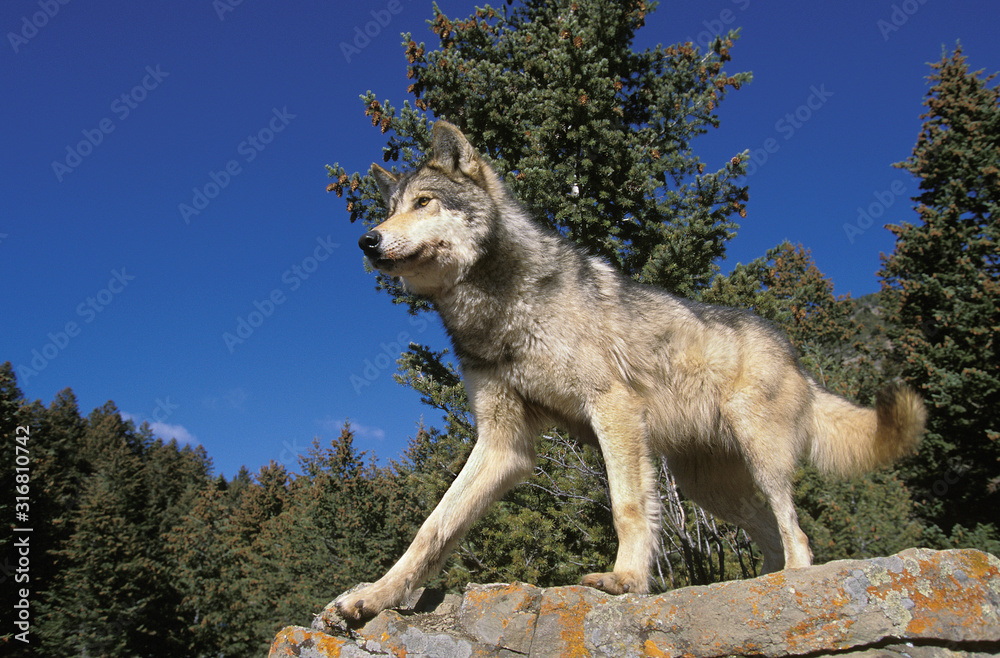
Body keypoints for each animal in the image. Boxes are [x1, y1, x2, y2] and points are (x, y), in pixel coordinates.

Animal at [334, 120, 926, 620]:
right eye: (389, 208)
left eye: (424, 202)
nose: (367, 240)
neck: (497, 311)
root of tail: (793, 352)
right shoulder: (504, 442)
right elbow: (431, 528)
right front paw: (374, 596)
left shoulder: (612, 407)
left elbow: (627, 506)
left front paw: (626, 581)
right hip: (709, 487)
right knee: (773, 534)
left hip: (761, 456)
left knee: (796, 535)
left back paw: (793, 586)